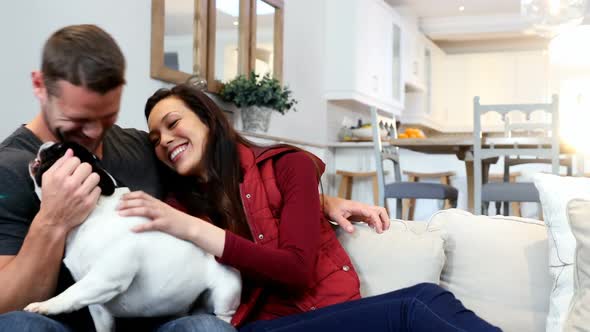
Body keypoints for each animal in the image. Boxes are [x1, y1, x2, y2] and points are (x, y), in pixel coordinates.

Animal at [23, 141, 240, 330]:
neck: (93, 213)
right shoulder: (98, 307)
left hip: (226, 291)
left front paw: (45, 305)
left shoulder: (104, 278)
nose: (45, 144)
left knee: (224, 314)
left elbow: (71, 294)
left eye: (59, 148)